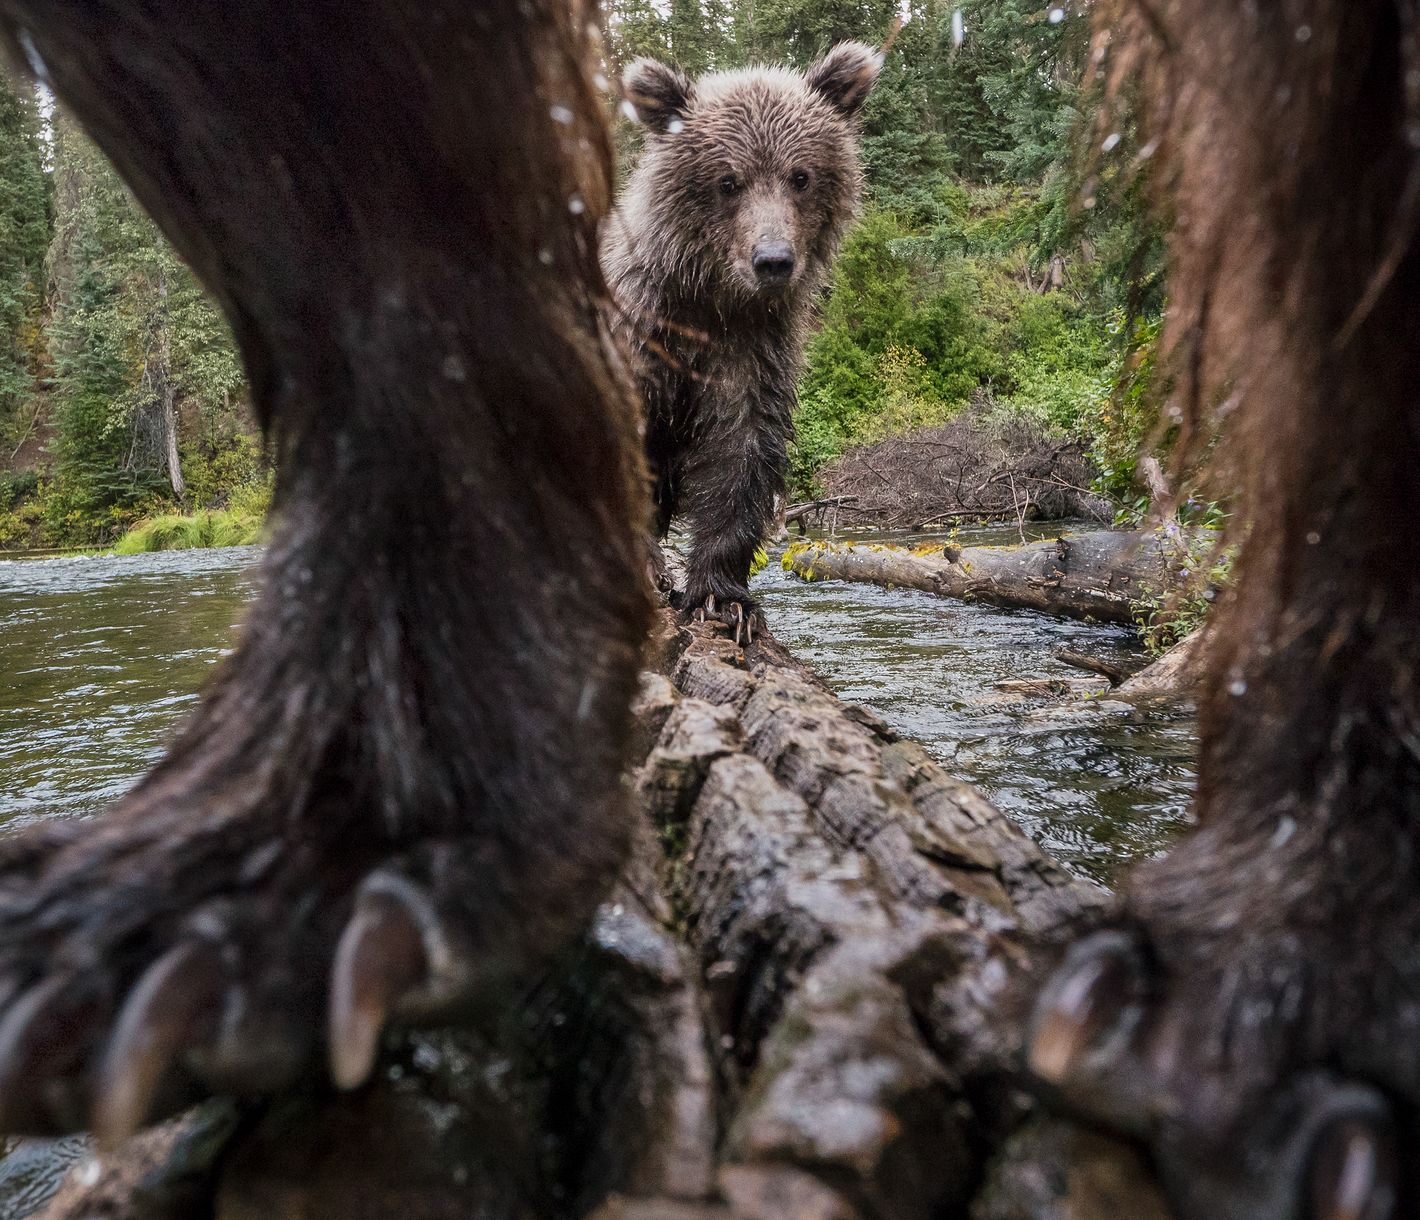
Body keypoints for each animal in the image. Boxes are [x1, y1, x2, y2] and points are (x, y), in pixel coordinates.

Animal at [602, 43, 881, 641]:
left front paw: (724, 598)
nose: (772, 260)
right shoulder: (640, 329)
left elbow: (741, 452)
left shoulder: (749, 349)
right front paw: (650, 567)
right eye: (728, 181)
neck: (709, 301)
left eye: (801, 176)